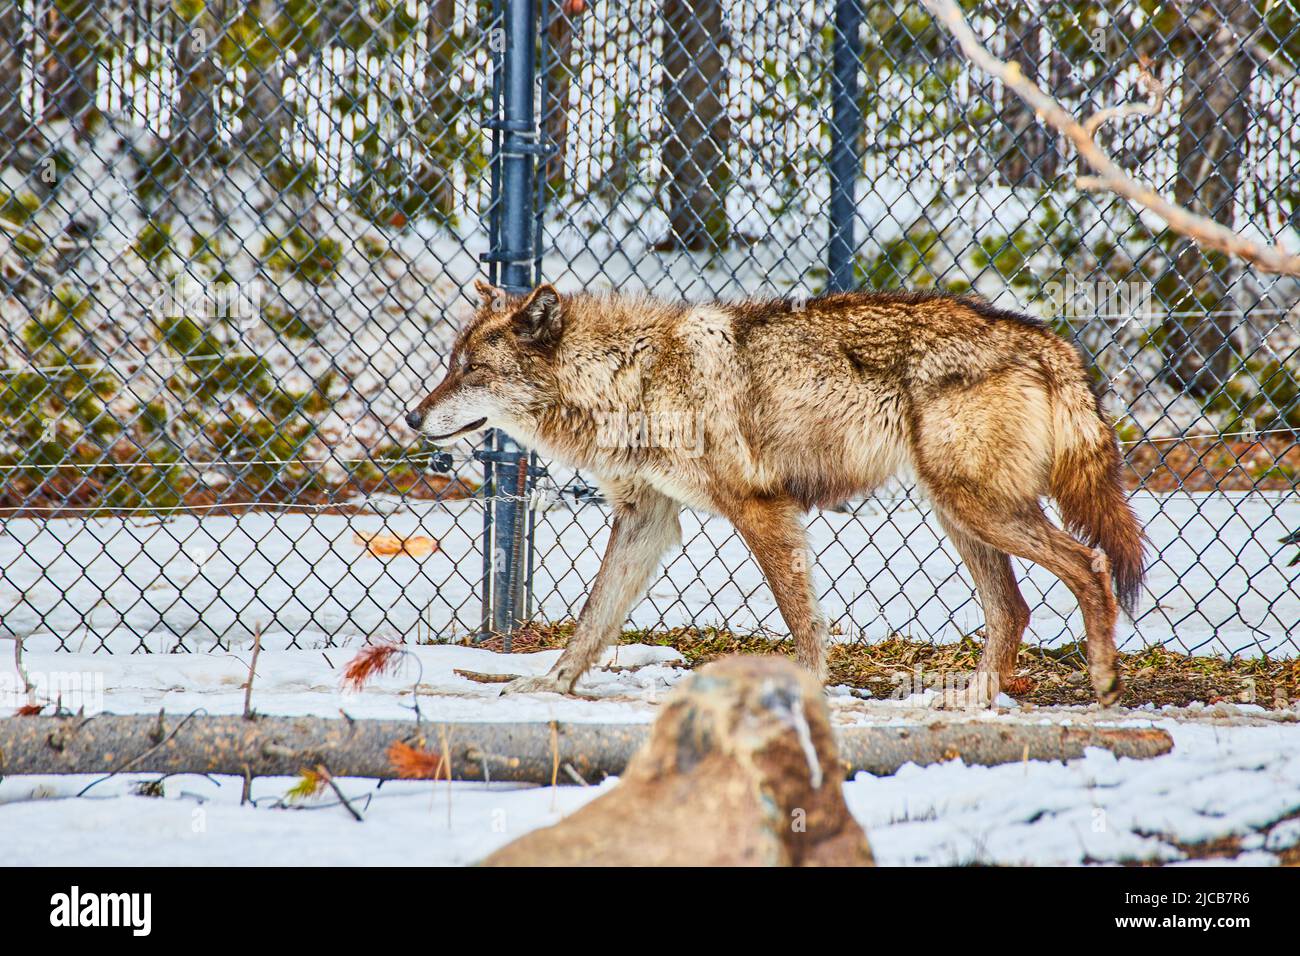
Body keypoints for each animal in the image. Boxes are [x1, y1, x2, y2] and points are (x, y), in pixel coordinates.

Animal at [406, 280, 1145, 706]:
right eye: (451, 366)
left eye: (470, 370)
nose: (412, 418)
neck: (629, 379)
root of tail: (1052, 342)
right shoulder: (648, 521)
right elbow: (592, 622)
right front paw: (549, 685)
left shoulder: (761, 509)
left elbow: (803, 622)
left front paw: (807, 696)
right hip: (961, 515)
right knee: (1012, 610)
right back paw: (969, 701)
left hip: (977, 509)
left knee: (1089, 566)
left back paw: (1103, 683)